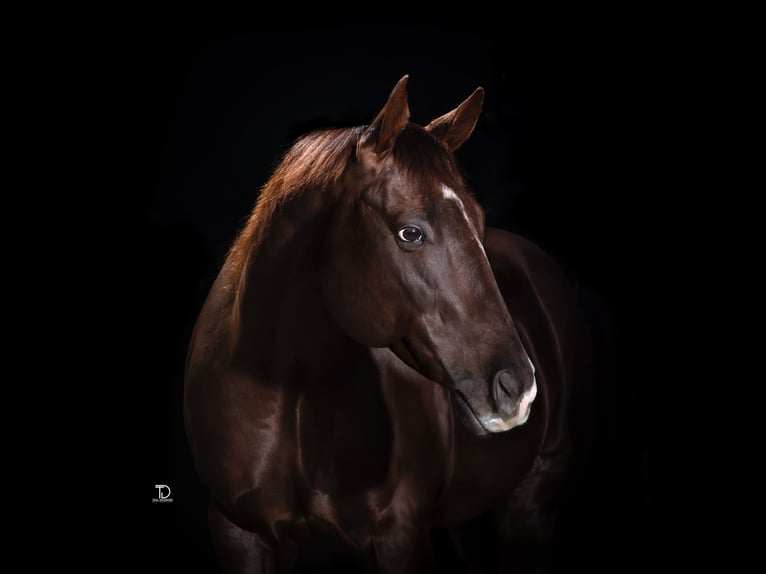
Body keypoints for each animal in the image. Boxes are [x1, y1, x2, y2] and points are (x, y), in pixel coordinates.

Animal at [184, 75, 594, 573]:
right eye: (410, 233)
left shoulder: (401, 536)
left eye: (477, 219)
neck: (281, 392)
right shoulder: (239, 535)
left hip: (532, 498)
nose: (518, 388)